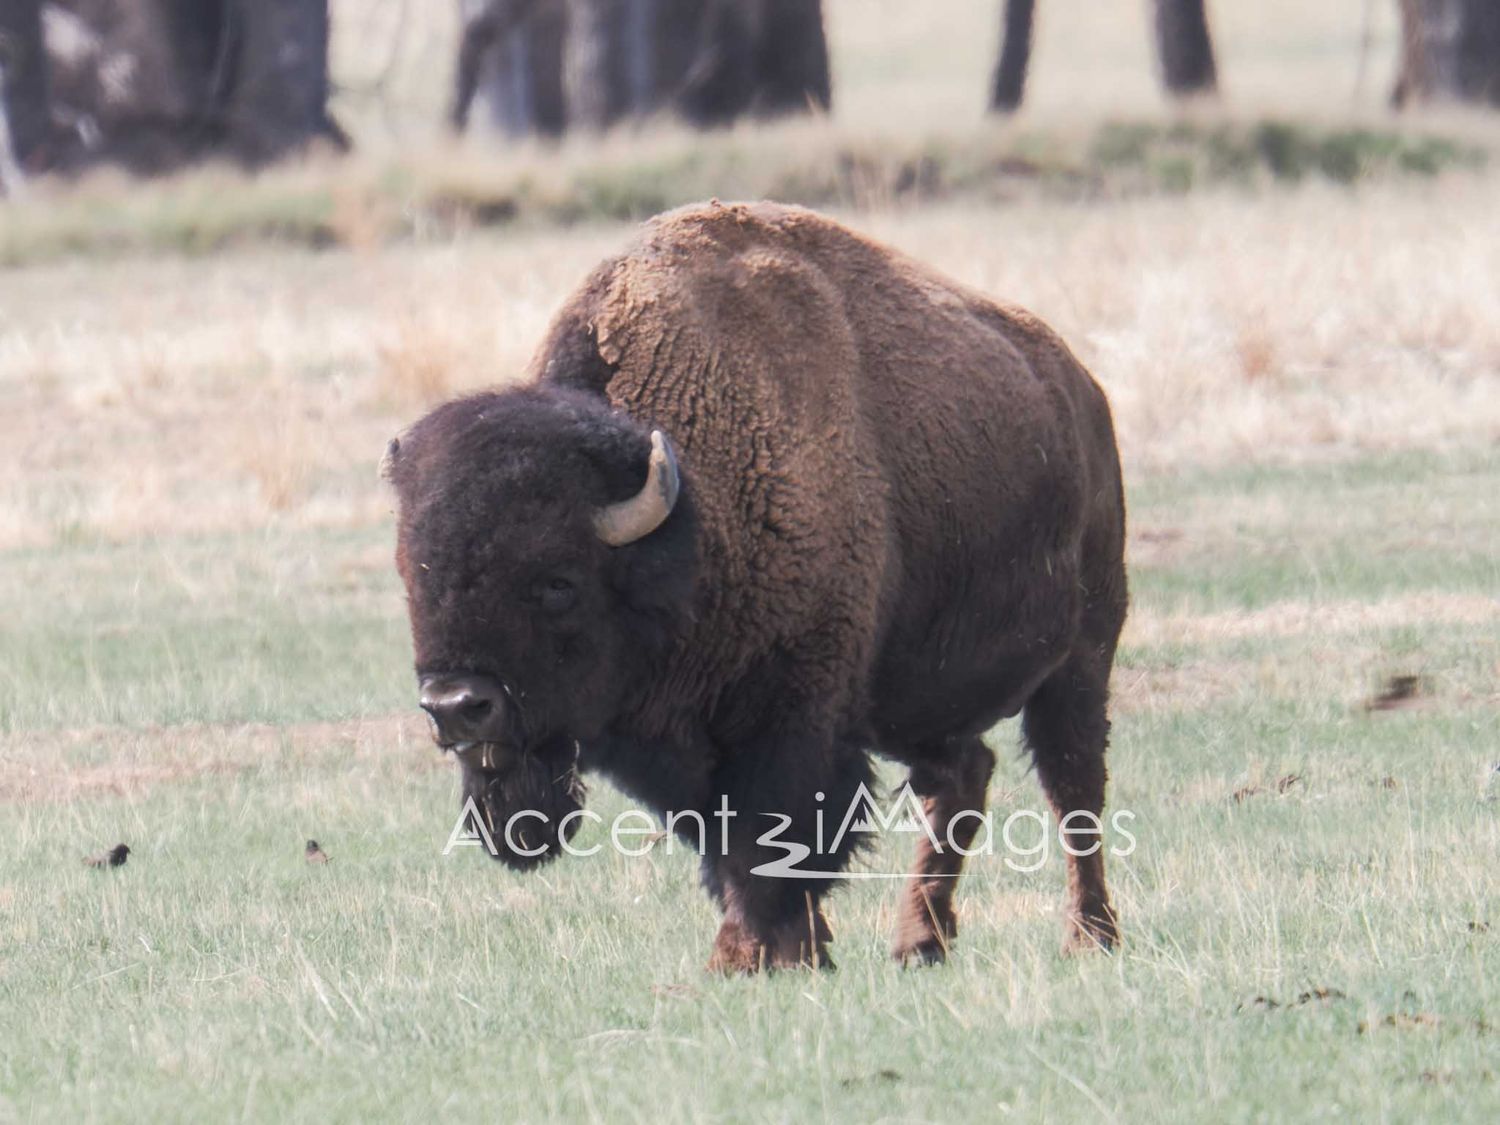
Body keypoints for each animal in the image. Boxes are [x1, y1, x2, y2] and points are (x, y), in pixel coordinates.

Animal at [383, 201, 1127, 971]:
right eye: (414, 581)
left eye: (557, 582)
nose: (456, 707)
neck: (692, 516)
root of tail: (1081, 389)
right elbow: (725, 839)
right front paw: (784, 950)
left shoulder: (793, 714)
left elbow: (770, 838)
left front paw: (755, 955)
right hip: (912, 696)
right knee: (963, 776)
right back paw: (919, 941)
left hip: (1083, 653)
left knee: (1073, 789)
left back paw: (1089, 936)